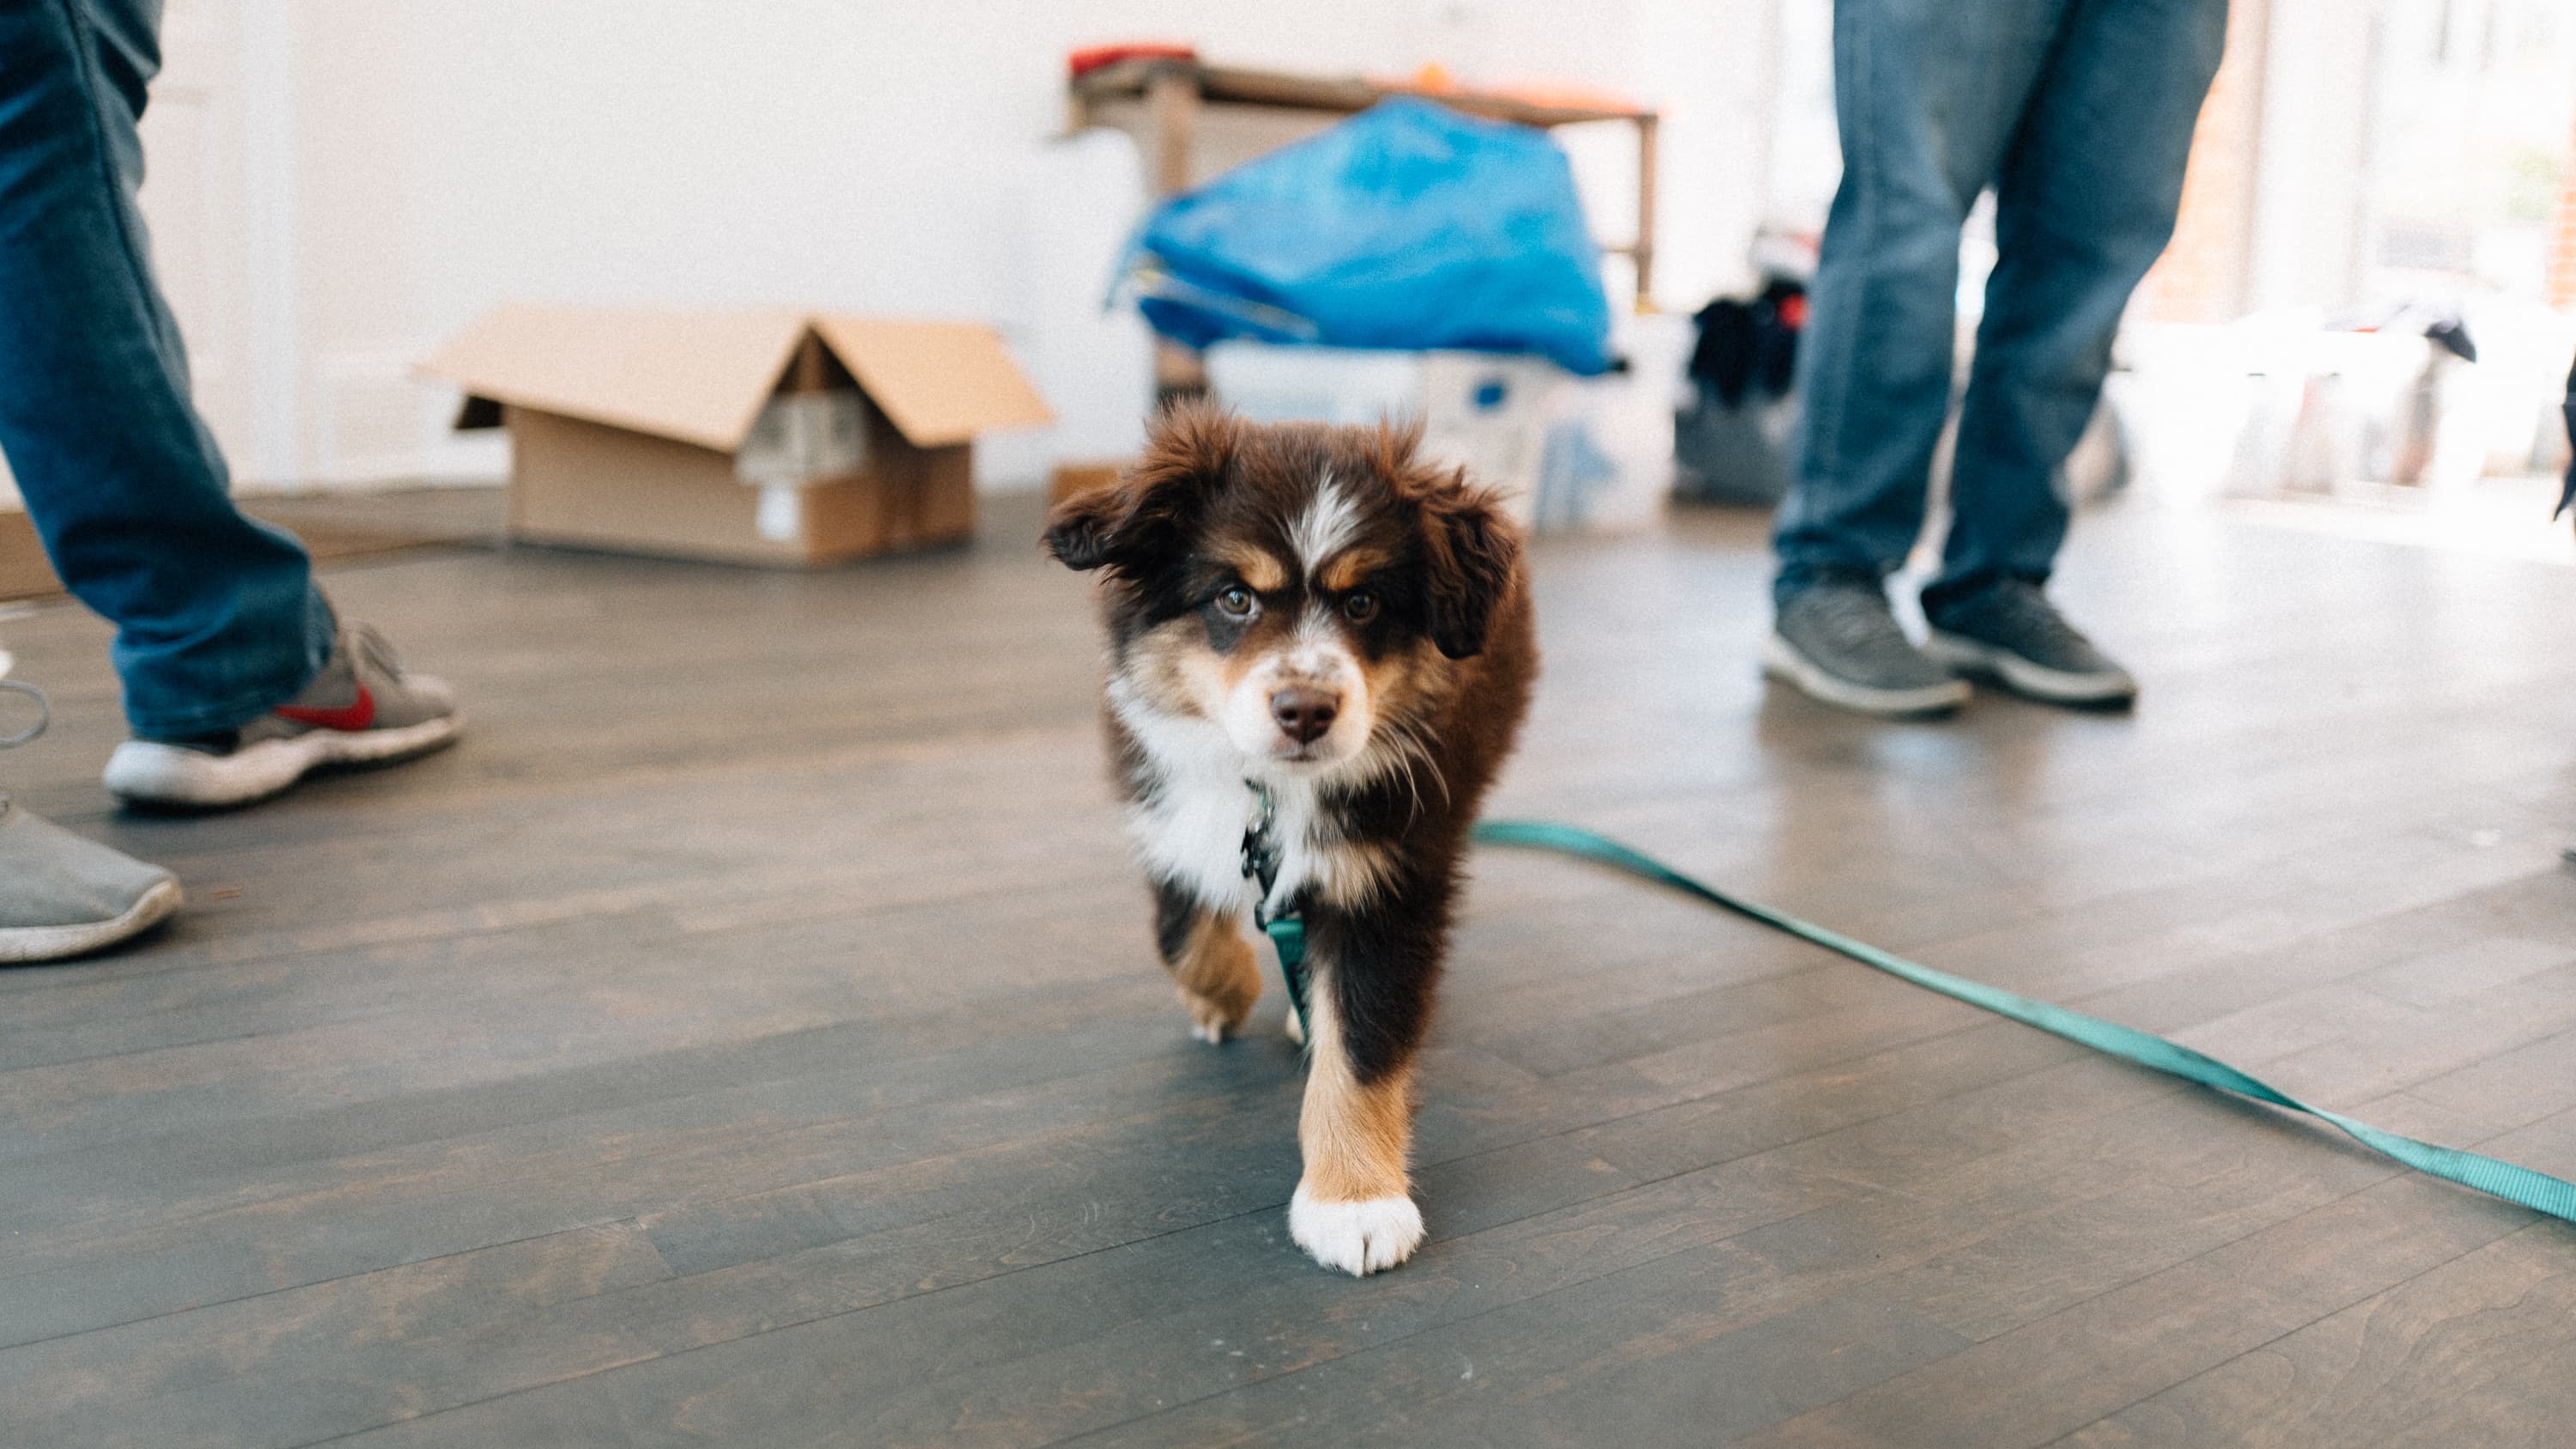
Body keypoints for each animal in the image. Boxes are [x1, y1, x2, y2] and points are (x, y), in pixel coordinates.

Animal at [1041, 399, 1525, 1268]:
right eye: (1235, 597)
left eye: (1364, 604)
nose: (1306, 710)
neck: (1272, 788)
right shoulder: (1165, 806)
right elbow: (1181, 927)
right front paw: (1226, 992)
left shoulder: (1390, 876)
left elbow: (1363, 1042)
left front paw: (1356, 1202)